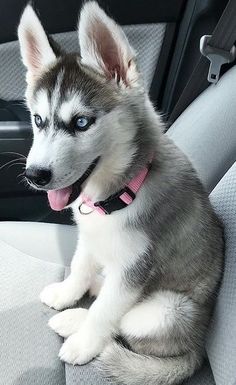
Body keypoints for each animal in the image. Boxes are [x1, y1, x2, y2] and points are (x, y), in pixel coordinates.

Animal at [17, 1, 224, 382]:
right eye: (38, 120)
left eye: (81, 122)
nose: (35, 175)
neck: (120, 192)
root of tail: (197, 349)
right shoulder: (90, 236)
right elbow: (80, 267)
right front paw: (68, 292)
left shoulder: (135, 268)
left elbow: (105, 313)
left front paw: (84, 344)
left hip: (166, 310)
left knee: (123, 322)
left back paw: (77, 324)